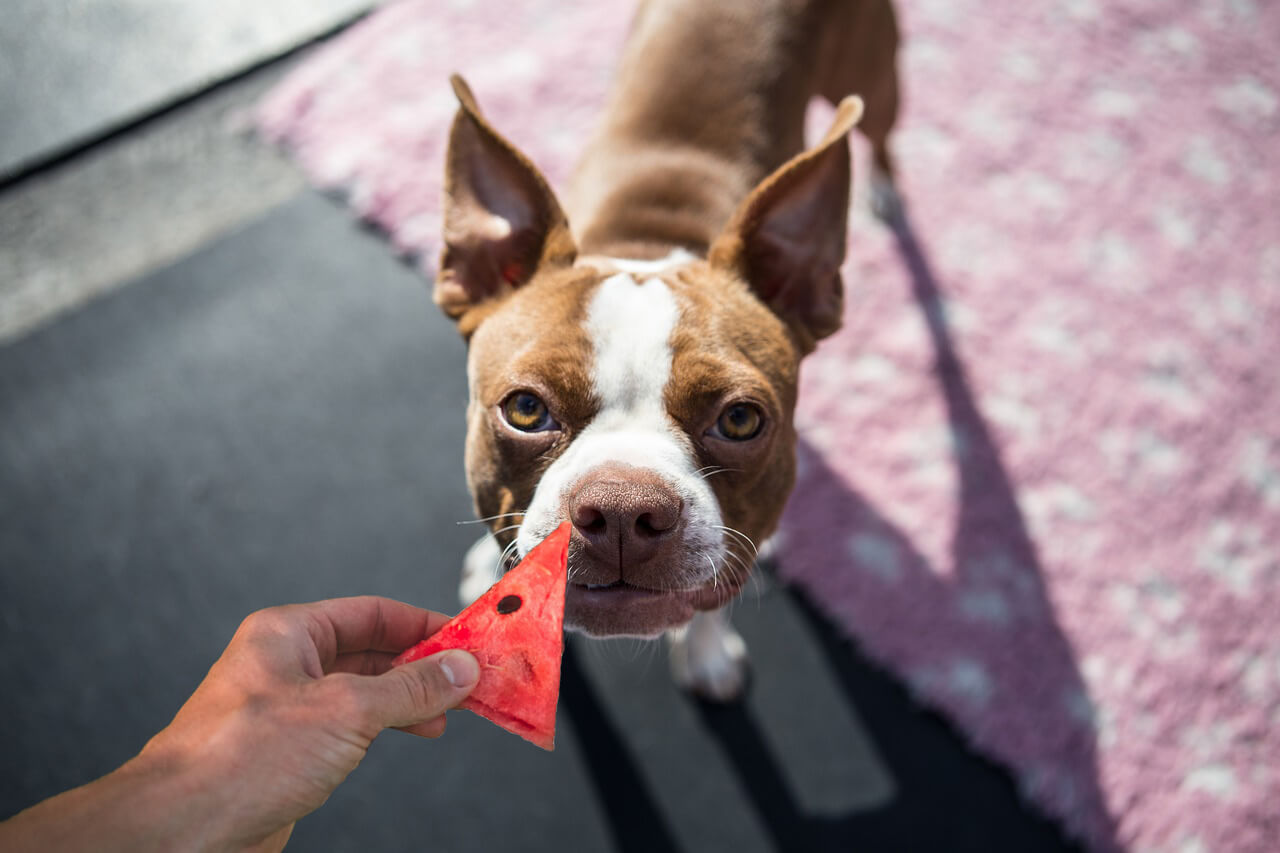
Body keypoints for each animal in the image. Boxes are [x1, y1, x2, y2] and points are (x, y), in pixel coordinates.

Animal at [437, 0, 901, 696]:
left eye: (741, 420)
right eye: (525, 409)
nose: (622, 510)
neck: (648, 243)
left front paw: (707, 655)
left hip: (876, 76)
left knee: (882, 133)